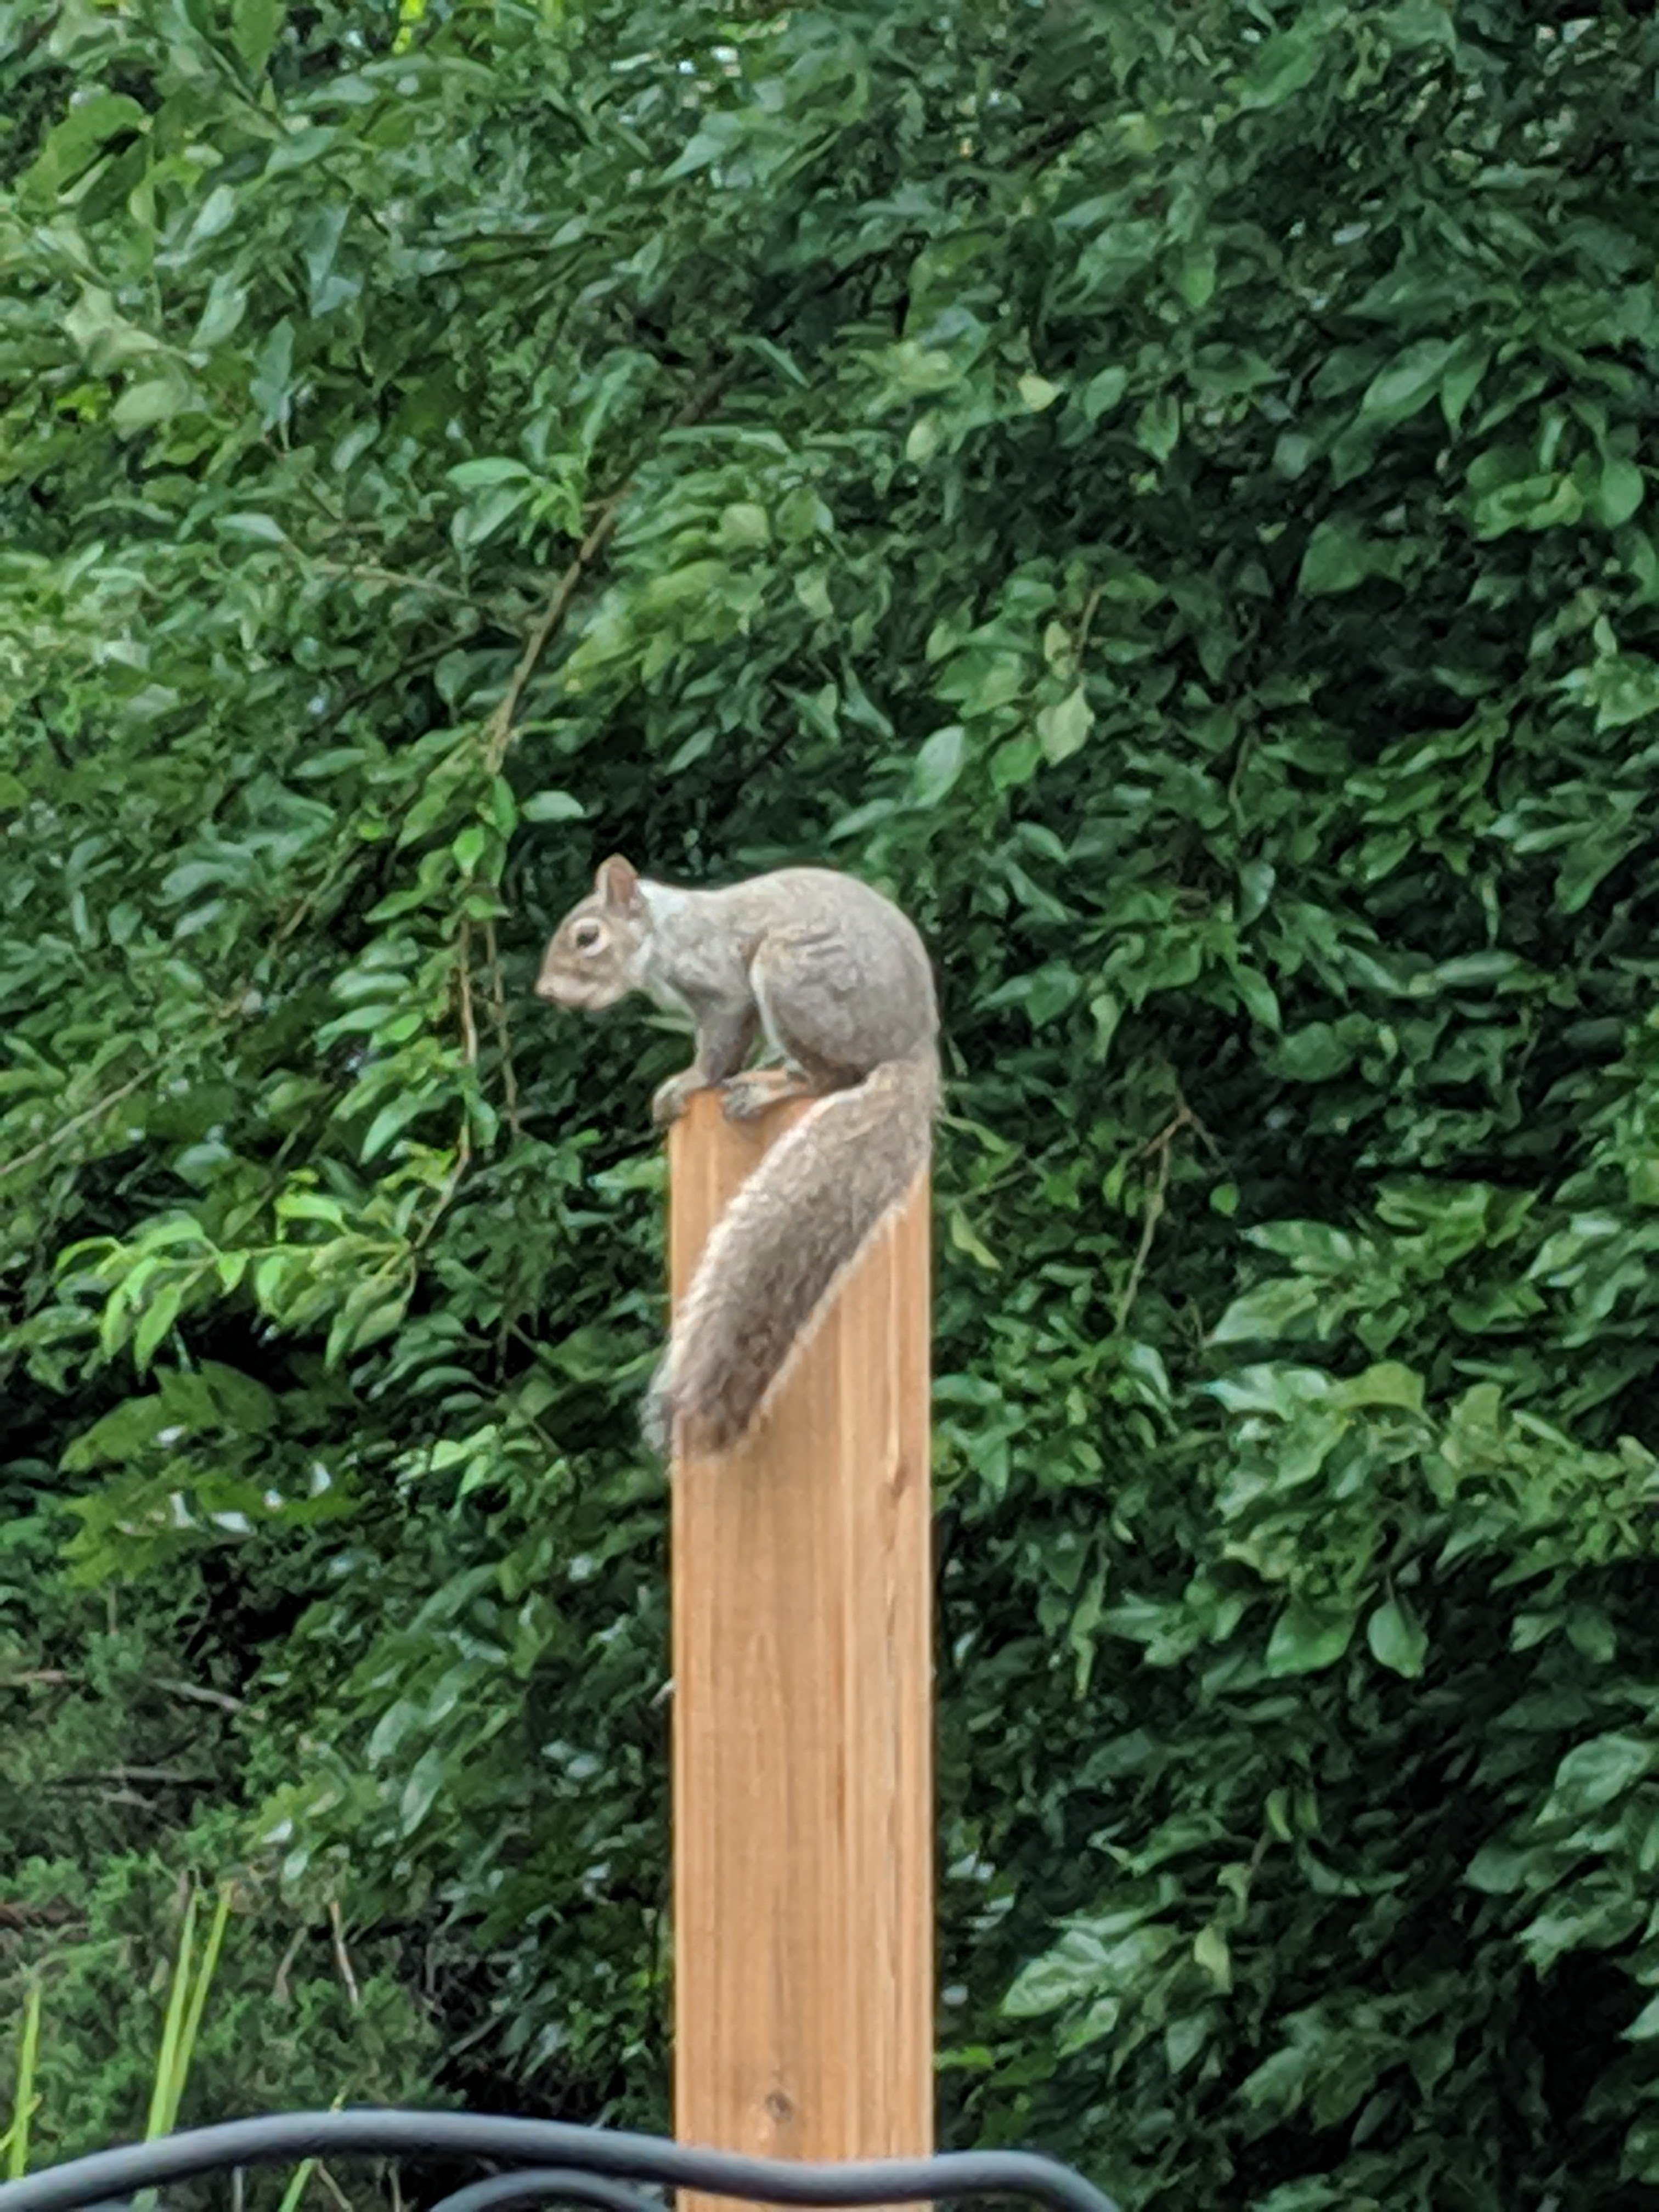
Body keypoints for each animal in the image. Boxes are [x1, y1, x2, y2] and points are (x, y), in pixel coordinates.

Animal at [535, 855, 939, 1456]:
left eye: (588, 937)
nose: (546, 993)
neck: (665, 931)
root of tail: (915, 1053)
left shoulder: (721, 986)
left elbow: (720, 1048)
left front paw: (687, 1084)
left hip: (794, 975)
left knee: (831, 1078)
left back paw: (771, 1086)